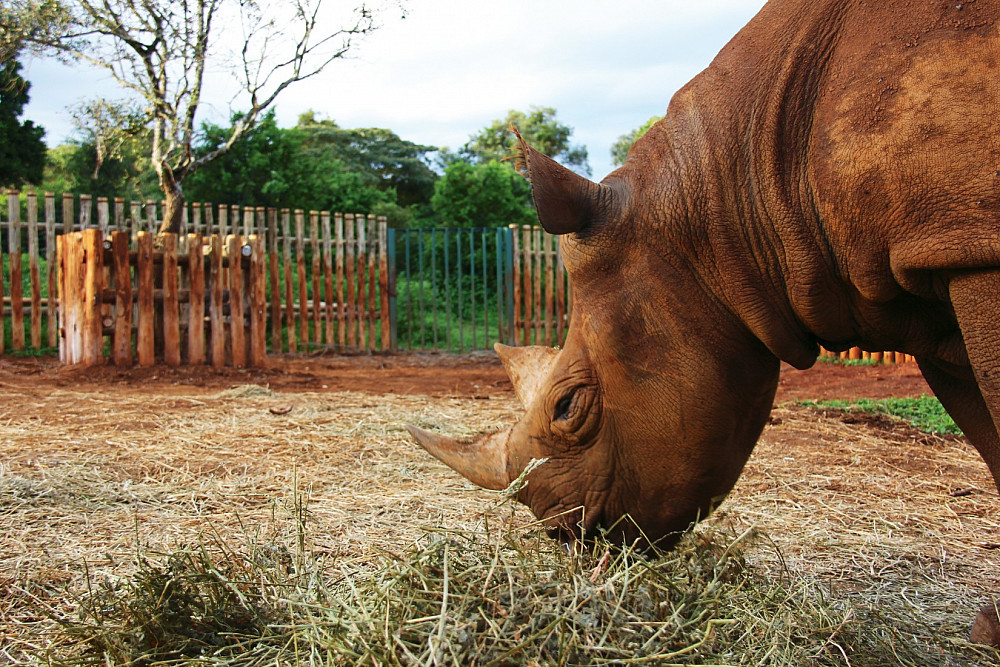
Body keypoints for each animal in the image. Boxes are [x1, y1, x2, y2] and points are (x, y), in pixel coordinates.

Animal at [407, 0, 1000, 645]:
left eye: (568, 408)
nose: (562, 533)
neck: (733, 193)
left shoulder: (970, 250)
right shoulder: (935, 271)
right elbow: (988, 432)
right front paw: (989, 630)